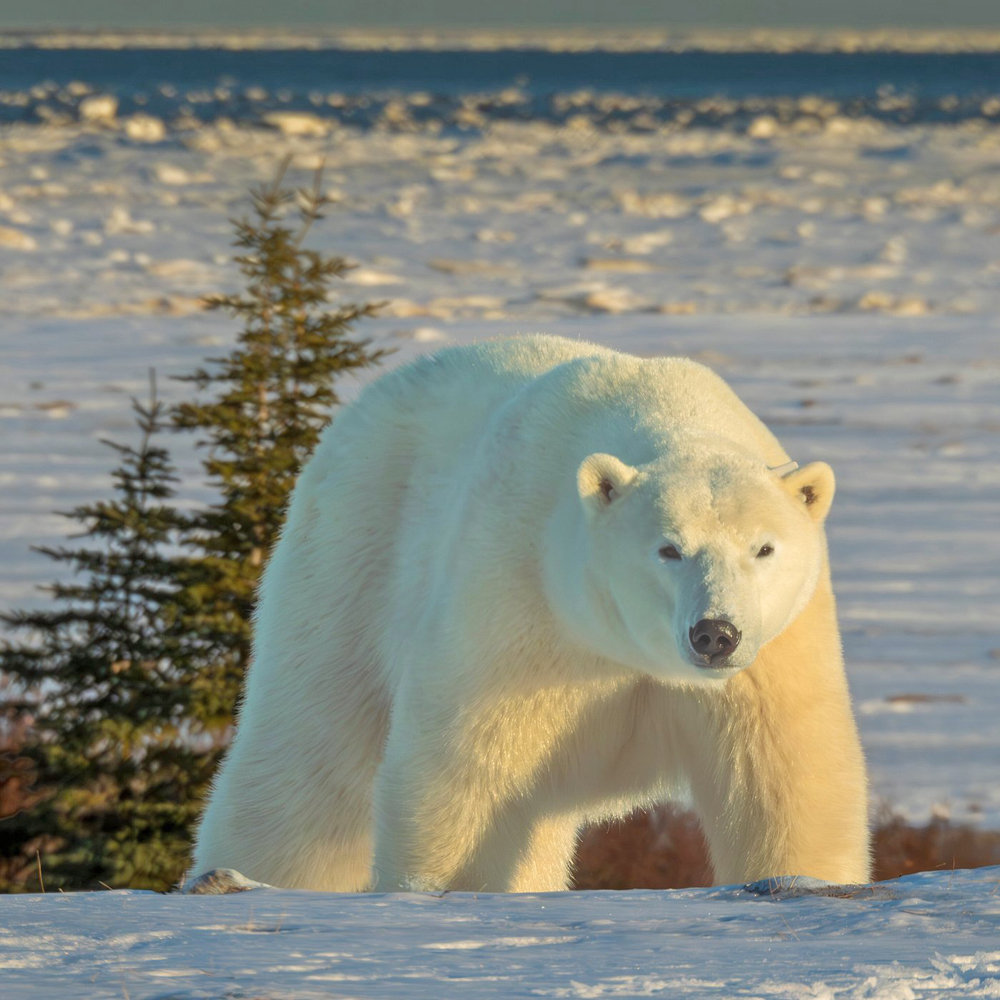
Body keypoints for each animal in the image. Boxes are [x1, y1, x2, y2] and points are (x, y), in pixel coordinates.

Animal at [191, 336, 872, 892]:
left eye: (763, 548)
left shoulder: (776, 653)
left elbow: (786, 782)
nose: (715, 634)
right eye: (669, 548)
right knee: (309, 762)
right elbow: (469, 773)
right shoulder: (520, 603)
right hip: (354, 550)